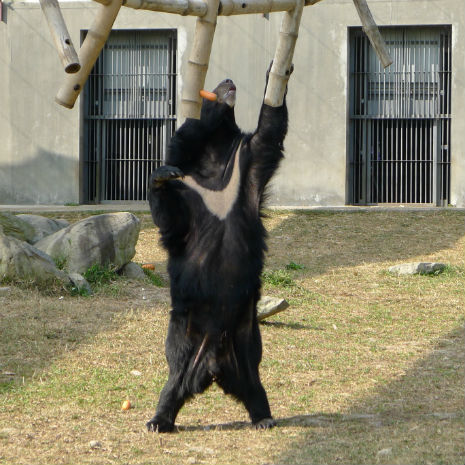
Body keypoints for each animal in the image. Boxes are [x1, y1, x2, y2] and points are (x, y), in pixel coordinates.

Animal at [146, 66, 290, 432]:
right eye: (212, 85)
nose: (228, 80)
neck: (214, 149)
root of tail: (212, 363)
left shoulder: (247, 163)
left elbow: (269, 132)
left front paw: (277, 69)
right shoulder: (187, 189)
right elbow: (168, 219)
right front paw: (161, 175)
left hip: (247, 334)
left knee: (254, 377)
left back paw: (263, 416)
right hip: (183, 328)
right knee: (174, 370)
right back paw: (158, 418)